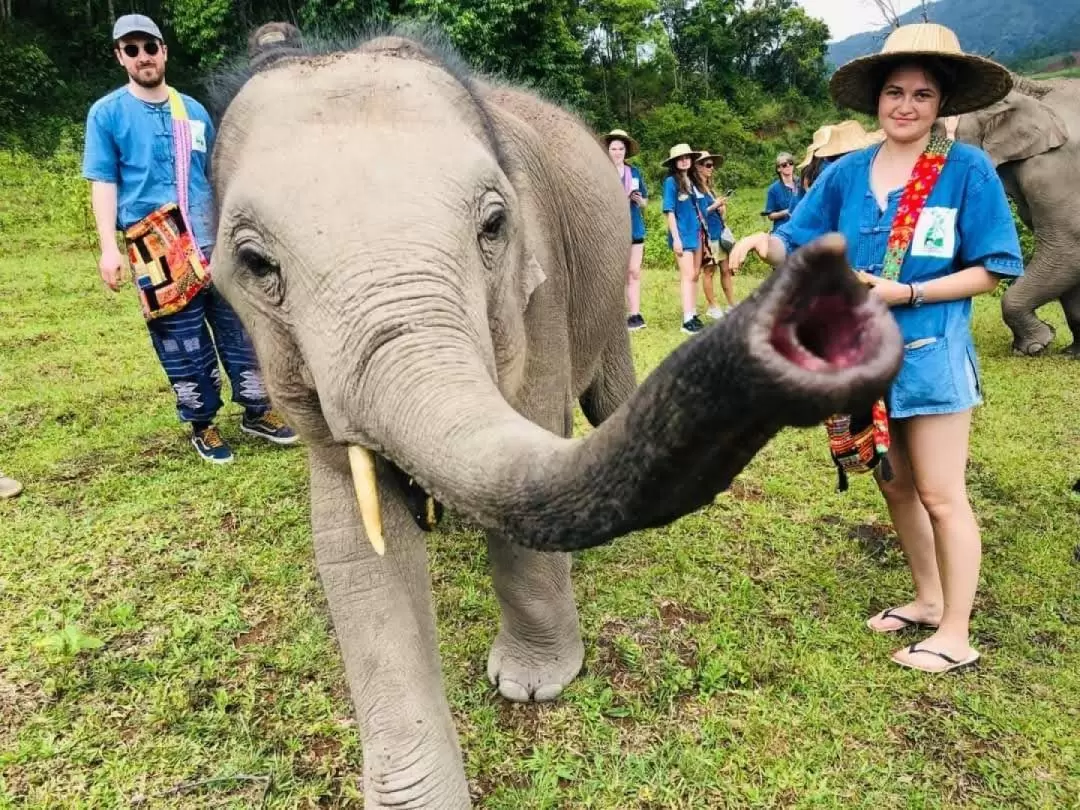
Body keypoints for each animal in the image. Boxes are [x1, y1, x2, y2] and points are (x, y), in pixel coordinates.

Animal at [206, 22, 898, 807]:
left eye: (494, 224)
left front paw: (532, 686)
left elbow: (533, 431)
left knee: (601, 404)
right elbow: (355, 545)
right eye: (255, 263)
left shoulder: (538, 282)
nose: (817, 298)